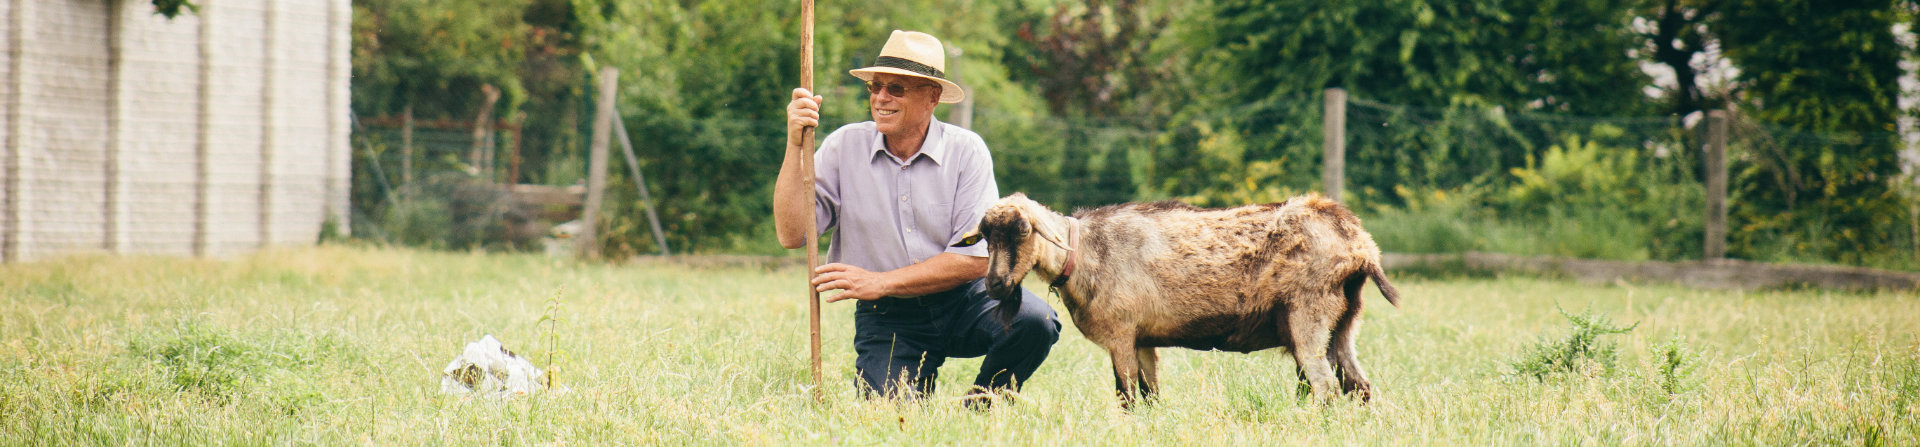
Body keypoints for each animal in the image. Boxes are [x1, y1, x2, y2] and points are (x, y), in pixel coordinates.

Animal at [952, 189, 1405, 406]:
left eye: (1023, 231)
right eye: (986, 236)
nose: (996, 285)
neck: (1085, 253)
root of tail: (1360, 245)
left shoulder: (1120, 333)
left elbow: (1126, 396)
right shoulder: (1143, 339)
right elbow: (1150, 395)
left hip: (1309, 314)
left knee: (1325, 387)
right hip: (1343, 321)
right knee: (1358, 386)